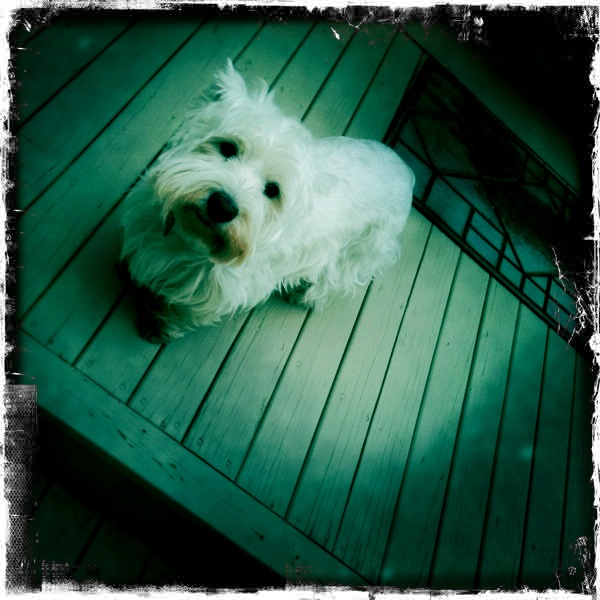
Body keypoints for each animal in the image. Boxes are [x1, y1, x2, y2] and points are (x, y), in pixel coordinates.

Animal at [119, 60, 415, 343]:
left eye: (272, 190)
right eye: (227, 148)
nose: (223, 207)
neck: (190, 239)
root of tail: (406, 169)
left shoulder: (215, 291)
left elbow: (182, 310)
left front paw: (159, 326)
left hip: (359, 252)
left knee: (329, 282)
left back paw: (300, 293)